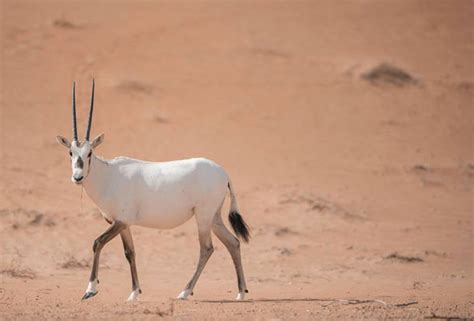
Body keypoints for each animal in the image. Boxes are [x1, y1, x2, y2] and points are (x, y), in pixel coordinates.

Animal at [57, 80, 250, 300]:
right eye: (71, 152)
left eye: (89, 153)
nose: (78, 177)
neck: (108, 175)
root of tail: (223, 173)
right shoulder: (123, 224)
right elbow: (129, 252)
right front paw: (134, 293)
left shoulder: (121, 221)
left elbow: (98, 242)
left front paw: (90, 289)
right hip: (214, 217)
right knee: (233, 242)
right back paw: (241, 293)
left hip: (203, 216)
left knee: (207, 248)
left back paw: (185, 292)